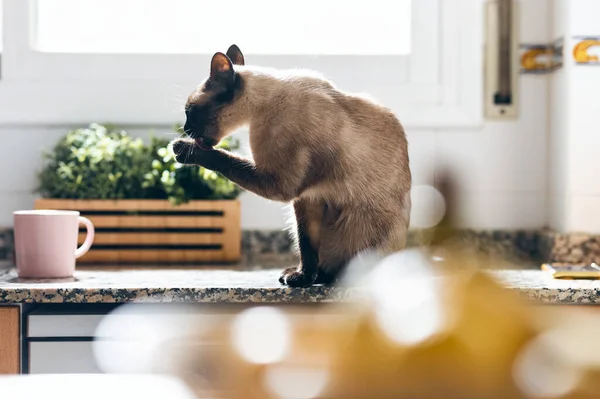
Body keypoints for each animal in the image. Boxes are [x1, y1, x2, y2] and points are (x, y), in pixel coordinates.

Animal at [171, 44, 410, 288]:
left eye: (189, 112)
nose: (186, 129)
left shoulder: (281, 185)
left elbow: (224, 159)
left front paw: (182, 148)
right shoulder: (307, 200)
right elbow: (307, 247)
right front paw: (303, 277)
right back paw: (314, 275)